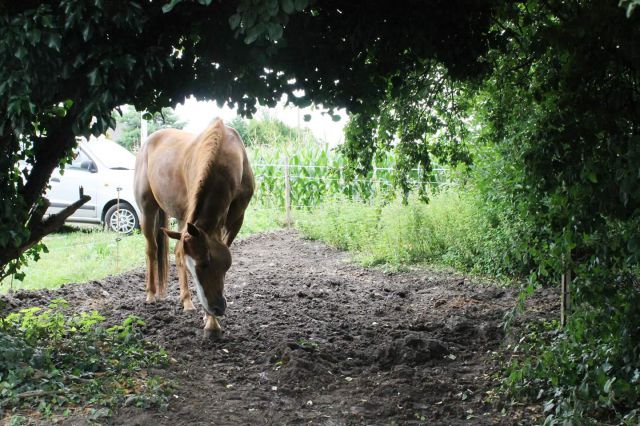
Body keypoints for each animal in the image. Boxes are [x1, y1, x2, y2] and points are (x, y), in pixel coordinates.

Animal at [134, 118, 254, 338]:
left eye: (206, 262)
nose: (215, 308)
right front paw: (212, 324)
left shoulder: (236, 220)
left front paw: (208, 318)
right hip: (147, 210)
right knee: (151, 249)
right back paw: (151, 294)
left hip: (182, 220)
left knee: (175, 251)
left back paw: (187, 302)